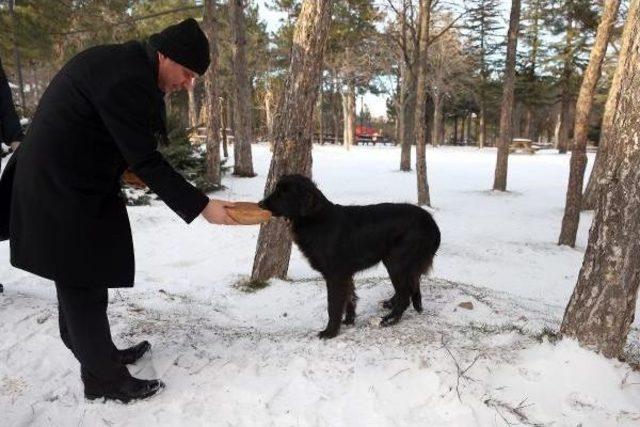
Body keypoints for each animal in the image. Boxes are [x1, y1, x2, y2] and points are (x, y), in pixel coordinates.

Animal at [260, 176, 440, 340]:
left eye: (284, 193)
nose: (260, 204)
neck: (317, 220)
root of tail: (431, 223)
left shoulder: (335, 275)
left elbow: (333, 305)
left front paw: (330, 332)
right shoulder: (345, 274)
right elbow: (349, 298)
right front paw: (348, 320)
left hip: (395, 262)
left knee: (405, 294)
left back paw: (390, 319)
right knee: (411, 286)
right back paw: (391, 303)